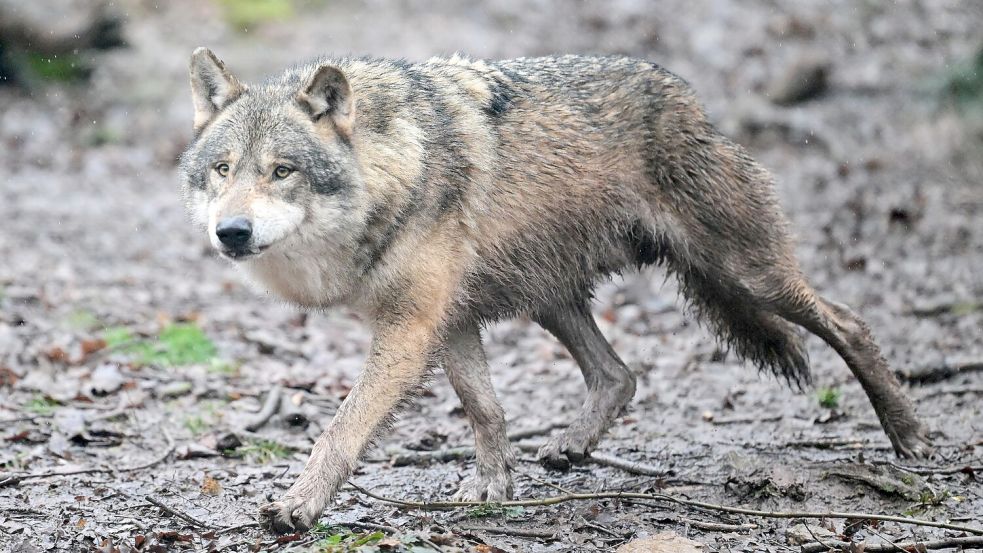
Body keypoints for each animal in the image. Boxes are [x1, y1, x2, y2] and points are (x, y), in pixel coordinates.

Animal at [178, 48, 931, 533]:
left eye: (282, 171)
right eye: (223, 169)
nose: (232, 232)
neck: (394, 168)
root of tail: (690, 99)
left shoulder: (410, 327)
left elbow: (341, 428)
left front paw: (297, 506)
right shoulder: (447, 320)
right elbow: (484, 409)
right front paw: (491, 487)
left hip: (746, 273)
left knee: (849, 322)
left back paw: (909, 437)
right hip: (550, 297)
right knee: (619, 374)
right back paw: (570, 446)